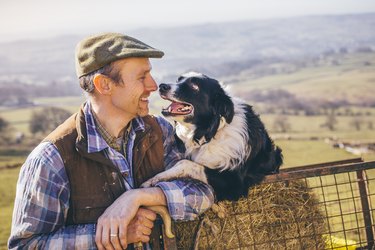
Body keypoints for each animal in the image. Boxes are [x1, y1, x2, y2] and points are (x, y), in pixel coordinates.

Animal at [142, 72, 284, 201]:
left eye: (194, 86)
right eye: (179, 80)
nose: (162, 86)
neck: (212, 132)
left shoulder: (234, 183)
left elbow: (185, 164)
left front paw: (154, 179)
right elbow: (183, 162)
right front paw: (156, 179)